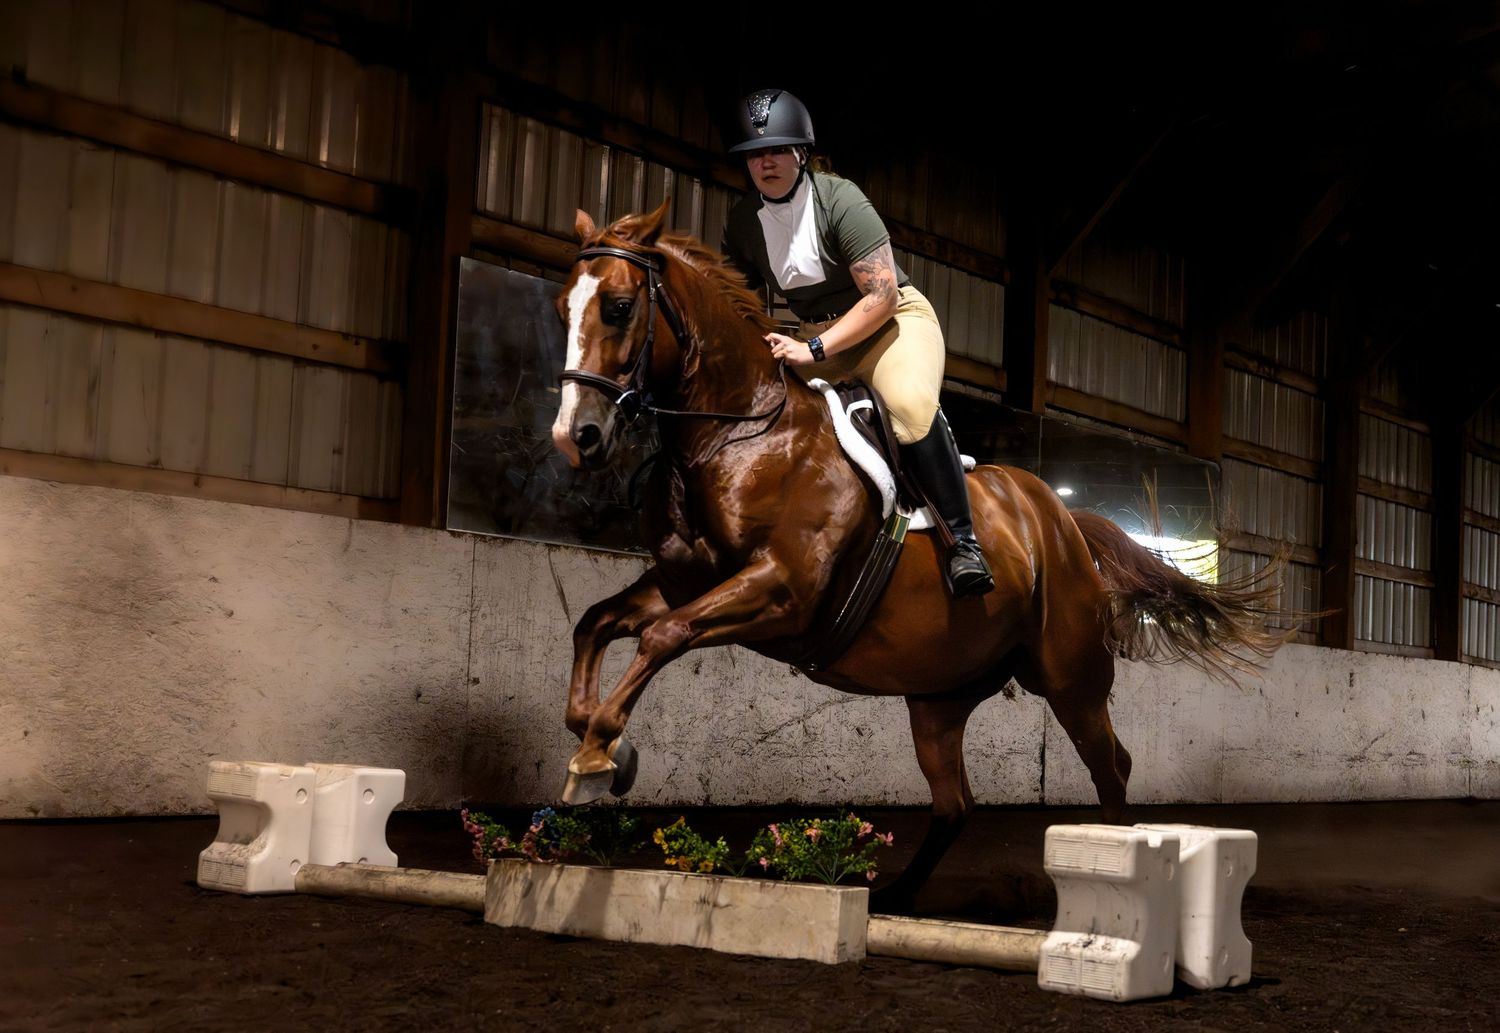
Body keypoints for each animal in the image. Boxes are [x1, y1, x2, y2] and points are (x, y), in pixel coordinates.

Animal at [549, 199, 1287, 909]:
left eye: (619, 306)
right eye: (563, 308)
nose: (575, 436)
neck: (736, 435)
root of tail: (1063, 522)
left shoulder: (780, 590)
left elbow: (661, 636)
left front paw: (598, 758)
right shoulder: (684, 580)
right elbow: (596, 623)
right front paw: (603, 743)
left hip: (1071, 677)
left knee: (1111, 766)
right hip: (939, 695)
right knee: (955, 801)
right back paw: (897, 894)